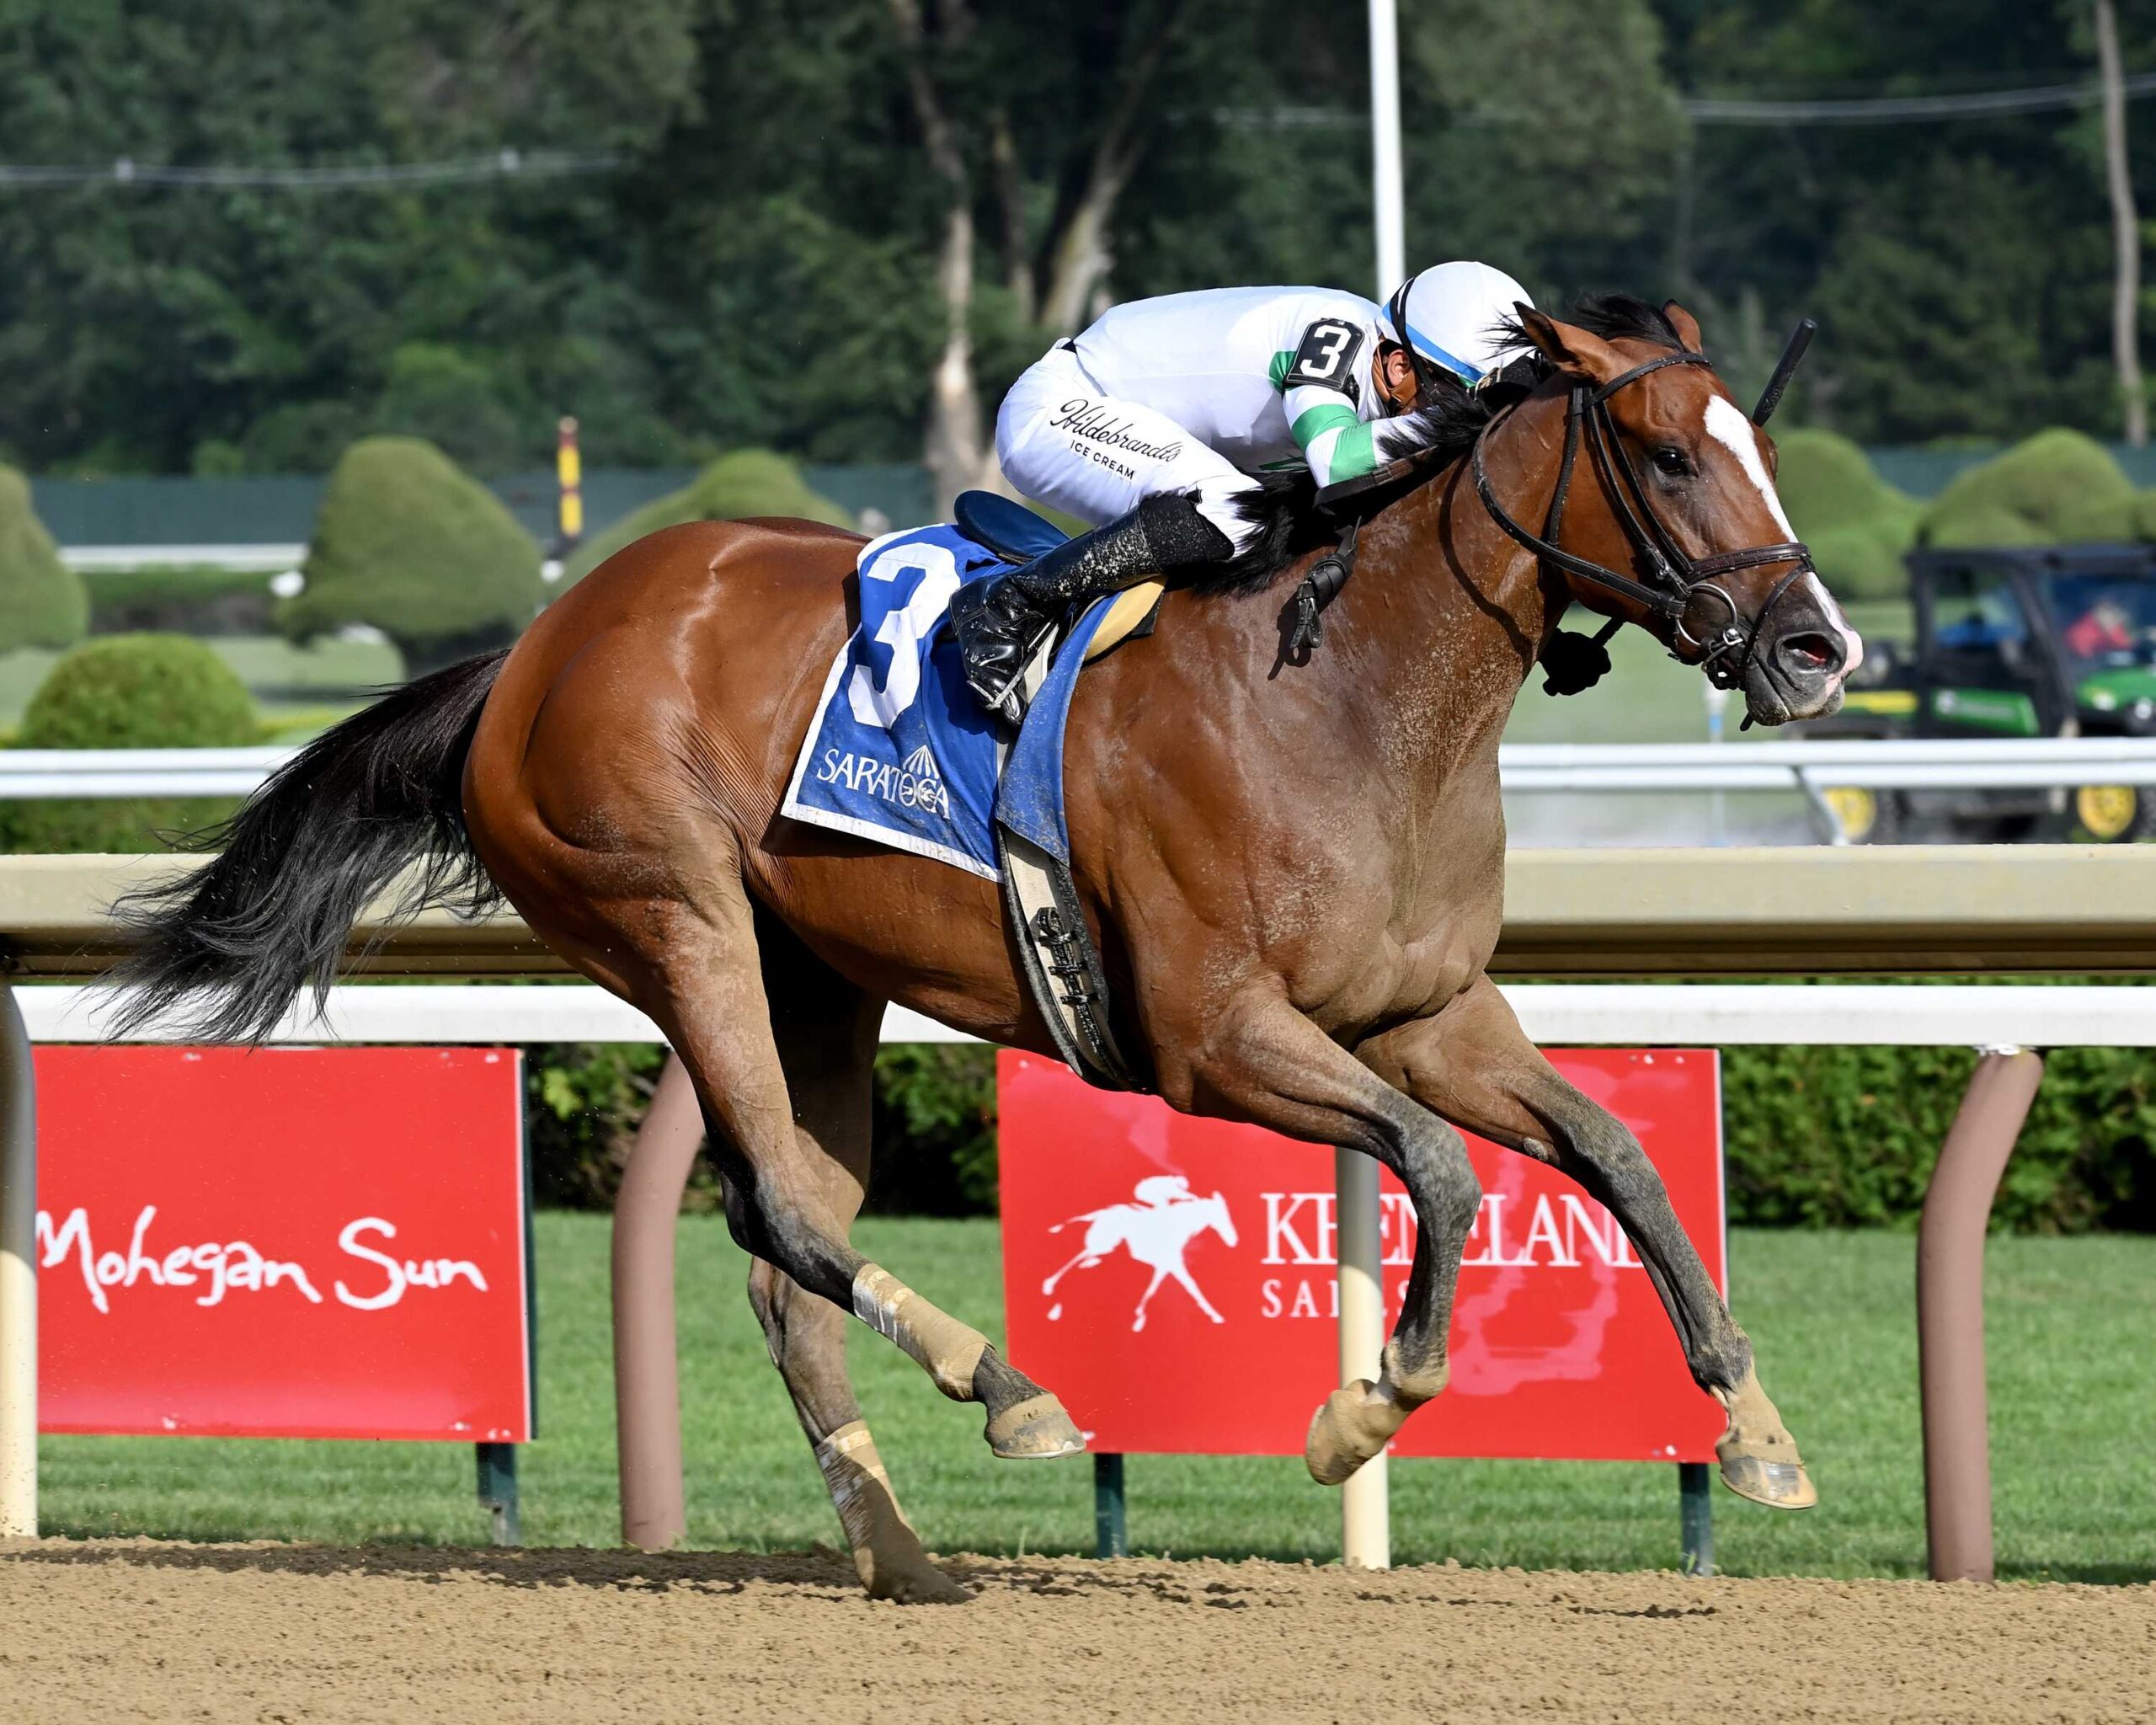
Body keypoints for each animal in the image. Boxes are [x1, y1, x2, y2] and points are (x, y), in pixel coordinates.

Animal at [1043, 1175, 1239, 1330]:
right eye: (1222, 1215)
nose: (1234, 1241)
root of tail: (1107, 1210)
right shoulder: (1172, 1264)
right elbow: (1192, 1287)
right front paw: (1214, 1314)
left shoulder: (1165, 1266)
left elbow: (1155, 1288)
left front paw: (1139, 1316)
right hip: (1105, 1242)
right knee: (1081, 1254)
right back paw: (1050, 1285)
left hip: (1110, 1244)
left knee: (1086, 1254)